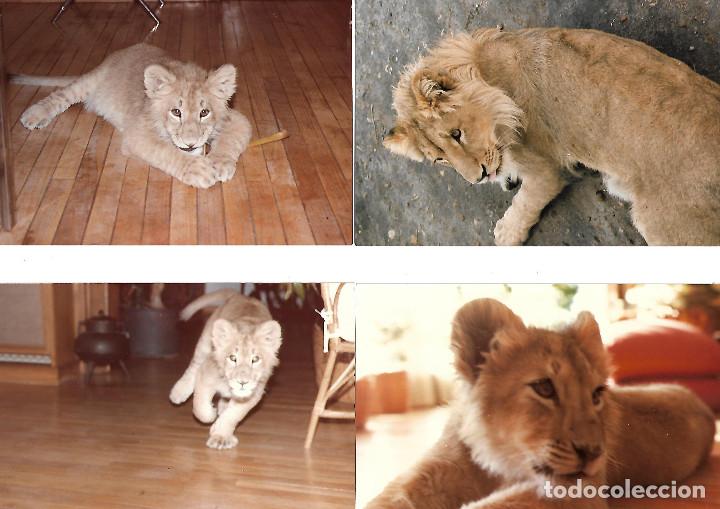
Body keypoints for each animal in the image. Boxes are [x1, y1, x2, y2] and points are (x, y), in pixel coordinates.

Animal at [14, 43, 287, 189]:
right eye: (176, 112)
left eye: (204, 112)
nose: (191, 143)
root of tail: (118, 54)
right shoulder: (136, 134)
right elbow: (166, 152)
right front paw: (198, 170)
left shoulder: (237, 119)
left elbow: (231, 140)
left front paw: (220, 163)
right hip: (88, 83)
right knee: (61, 95)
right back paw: (34, 115)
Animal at [169, 290, 283, 449]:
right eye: (232, 358)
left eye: (255, 359)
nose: (243, 382)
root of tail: (242, 295)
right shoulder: (205, 375)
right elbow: (200, 407)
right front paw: (211, 413)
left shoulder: (254, 394)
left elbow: (232, 415)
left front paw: (220, 437)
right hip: (204, 345)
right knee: (193, 367)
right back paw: (178, 393)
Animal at [366, 299, 716, 508]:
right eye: (544, 388)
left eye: (596, 395)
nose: (593, 453)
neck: (500, 460)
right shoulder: (429, 470)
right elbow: (386, 499)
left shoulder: (578, 494)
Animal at [383, 27, 720, 245]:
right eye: (439, 158)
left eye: (457, 134)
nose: (478, 178)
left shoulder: (546, 169)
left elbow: (525, 202)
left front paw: (507, 232)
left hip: (663, 226)